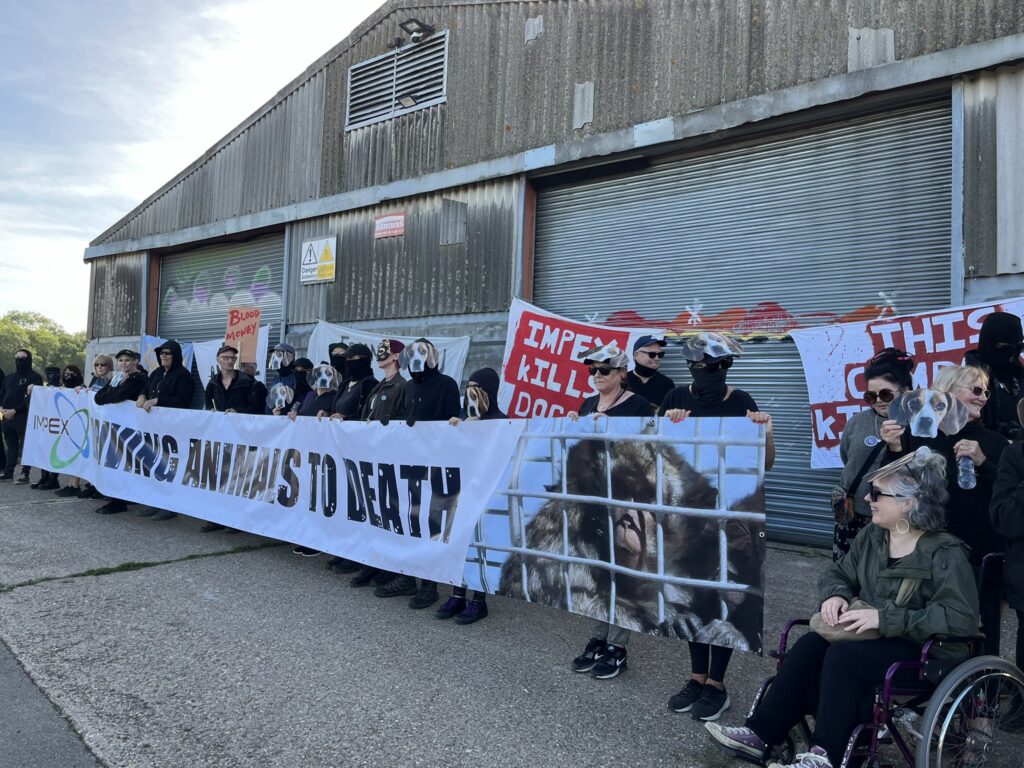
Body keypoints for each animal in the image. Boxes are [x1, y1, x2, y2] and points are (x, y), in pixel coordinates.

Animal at [464, 415, 770, 655]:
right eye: (618, 494)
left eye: (646, 498)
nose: (626, 520)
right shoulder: (562, 527)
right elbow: (543, 588)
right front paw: (669, 616)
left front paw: (729, 634)